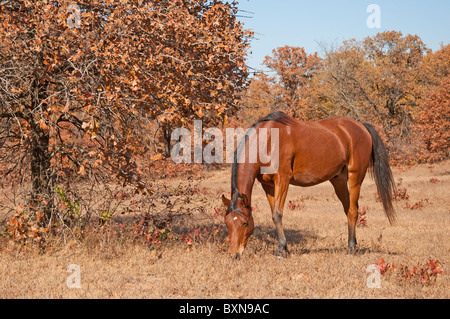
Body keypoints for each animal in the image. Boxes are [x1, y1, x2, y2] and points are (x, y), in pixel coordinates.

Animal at [221, 111, 394, 258]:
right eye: (227, 223)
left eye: (244, 223)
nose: (234, 254)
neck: (268, 140)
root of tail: (361, 126)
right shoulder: (267, 185)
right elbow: (273, 213)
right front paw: (283, 248)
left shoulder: (283, 180)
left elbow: (277, 214)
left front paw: (281, 250)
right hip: (338, 180)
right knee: (349, 209)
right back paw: (353, 244)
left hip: (355, 177)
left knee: (352, 210)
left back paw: (351, 248)